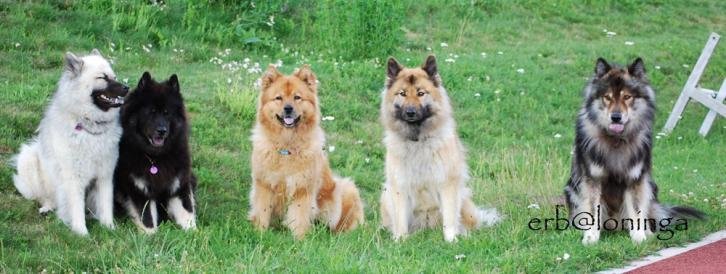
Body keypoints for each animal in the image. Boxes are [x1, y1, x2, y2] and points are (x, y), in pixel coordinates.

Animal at [12, 49, 128, 235]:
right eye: (103, 78)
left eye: (114, 76)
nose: (127, 88)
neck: (88, 124)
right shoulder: (74, 179)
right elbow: (76, 208)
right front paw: (82, 233)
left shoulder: (104, 176)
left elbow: (105, 205)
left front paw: (109, 228)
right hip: (28, 158)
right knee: (46, 198)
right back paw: (48, 208)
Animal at [112, 71, 196, 232]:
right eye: (151, 112)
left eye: (167, 113)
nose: (162, 131)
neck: (155, 158)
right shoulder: (138, 189)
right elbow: (147, 219)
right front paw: (152, 235)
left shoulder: (179, 185)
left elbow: (187, 212)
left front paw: (194, 233)